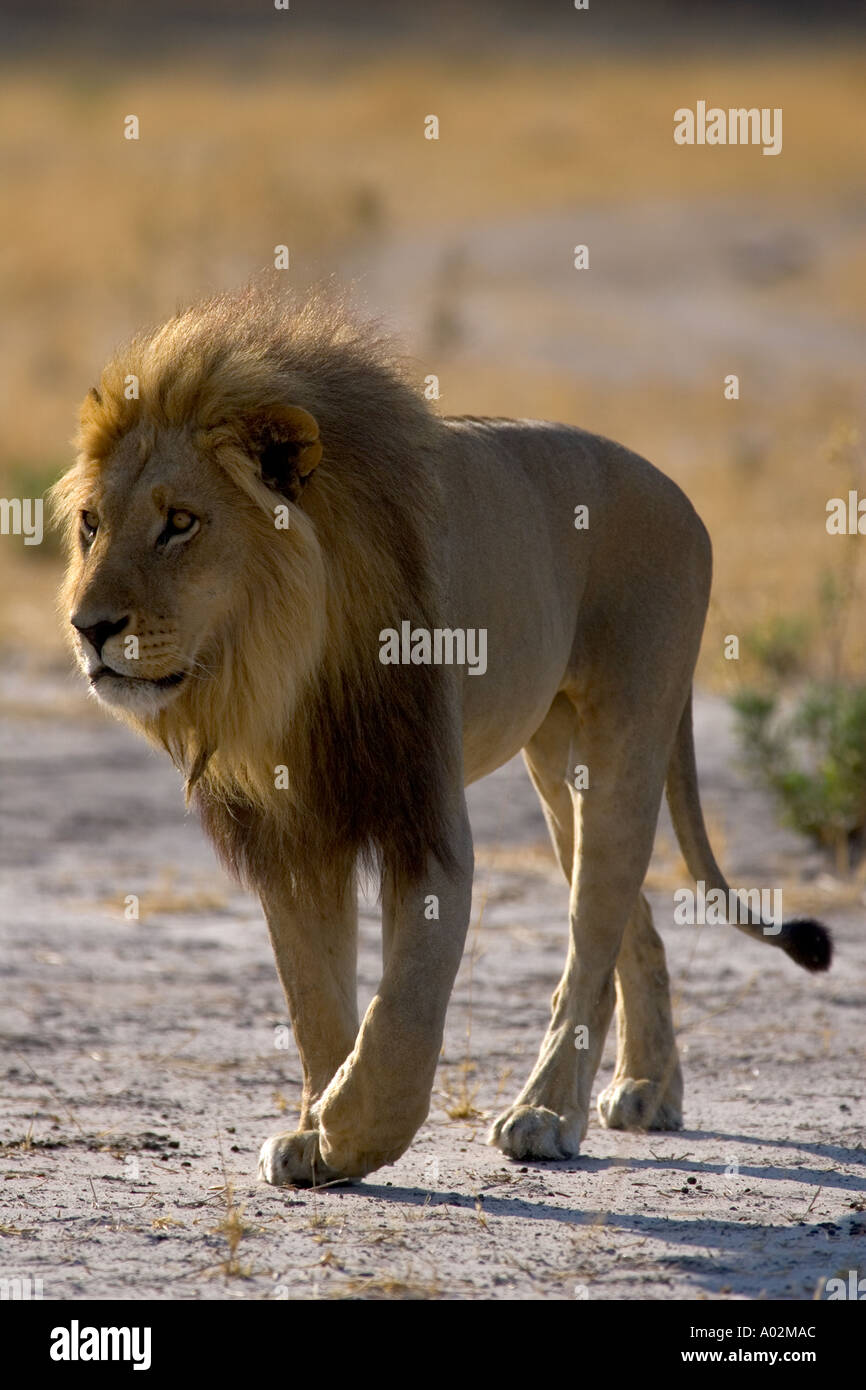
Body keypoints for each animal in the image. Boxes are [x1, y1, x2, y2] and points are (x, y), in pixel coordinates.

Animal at [52, 286, 832, 1186]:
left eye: (180, 523)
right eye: (90, 525)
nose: (88, 627)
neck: (280, 671)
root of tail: (680, 494)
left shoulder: (420, 814)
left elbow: (403, 1009)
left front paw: (349, 1126)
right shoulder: (289, 832)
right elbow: (314, 998)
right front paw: (316, 1130)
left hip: (626, 740)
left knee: (593, 933)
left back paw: (545, 1113)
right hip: (555, 764)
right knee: (629, 924)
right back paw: (647, 1088)